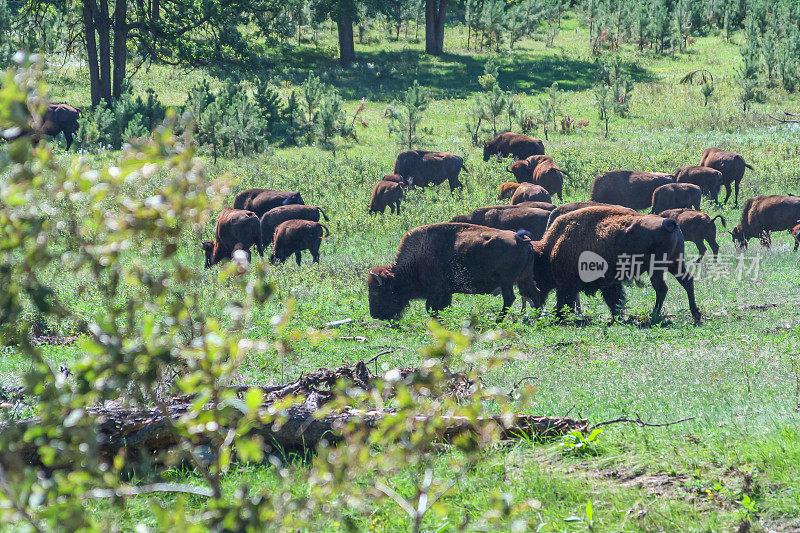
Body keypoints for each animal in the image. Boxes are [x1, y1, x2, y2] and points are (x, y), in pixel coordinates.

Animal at [368, 221, 536, 320]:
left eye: (376, 291)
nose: (375, 315)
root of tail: (520, 239)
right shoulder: (445, 292)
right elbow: (443, 307)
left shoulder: (435, 291)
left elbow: (431, 308)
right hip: (525, 278)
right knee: (534, 293)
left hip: (507, 281)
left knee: (510, 299)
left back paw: (497, 321)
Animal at [532, 206, 700, 322]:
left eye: (535, 269)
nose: (535, 302)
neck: (551, 248)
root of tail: (668, 223)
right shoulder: (609, 283)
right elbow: (615, 300)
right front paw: (616, 317)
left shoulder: (566, 285)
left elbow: (564, 301)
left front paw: (559, 317)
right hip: (675, 262)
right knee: (687, 281)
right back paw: (695, 313)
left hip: (657, 267)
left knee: (662, 288)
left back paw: (654, 314)